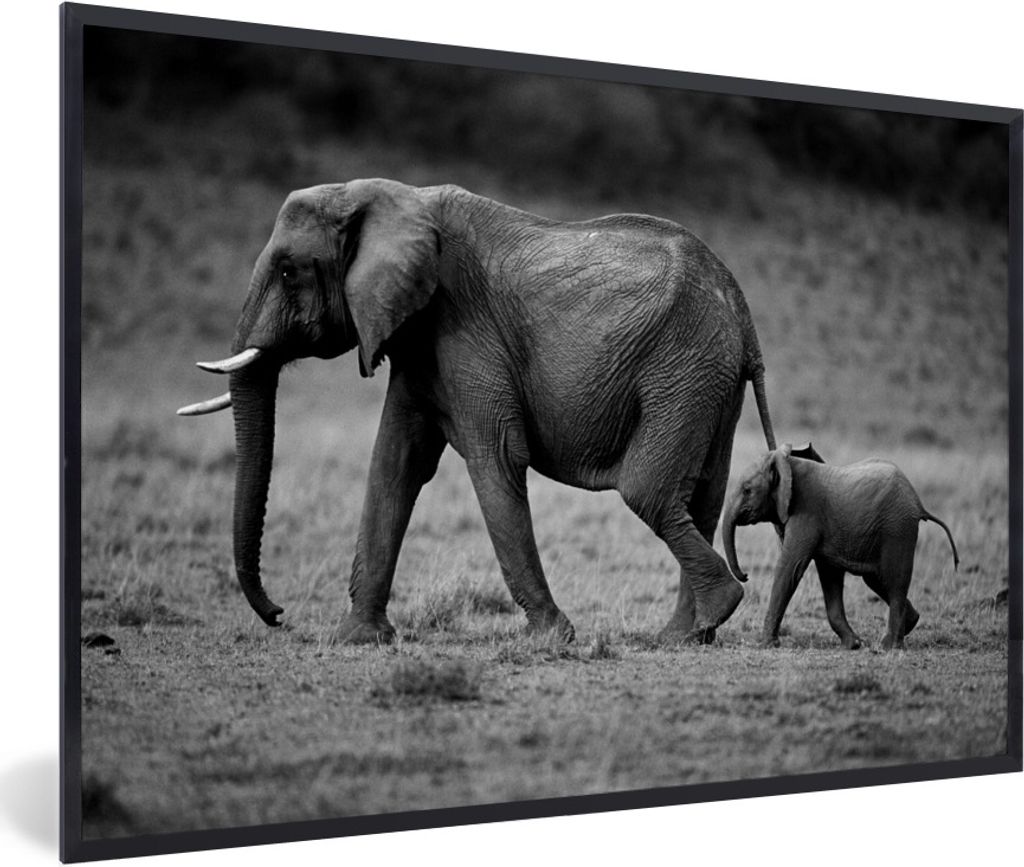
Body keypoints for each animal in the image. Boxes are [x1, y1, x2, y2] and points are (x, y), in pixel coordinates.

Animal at [178, 178, 777, 645]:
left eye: (288, 272)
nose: (278, 614)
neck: (385, 197)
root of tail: (743, 313)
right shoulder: (418, 338)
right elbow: (395, 464)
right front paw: (359, 638)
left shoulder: (464, 326)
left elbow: (497, 458)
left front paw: (551, 638)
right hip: (708, 380)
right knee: (700, 496)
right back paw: (685, 634)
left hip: (683, 366)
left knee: (648, 490)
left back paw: (714, 609)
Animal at [722, 443, 960, 650]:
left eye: (747, 490)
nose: (746, 575)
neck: (786, 464)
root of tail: (919, 503)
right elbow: (829, 576)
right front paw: (853, 645)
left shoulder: (806, 514)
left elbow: (790, 569)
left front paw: (765, 644)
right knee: (878, 579)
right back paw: (910, 624)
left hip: (898, 528)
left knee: (895, 580)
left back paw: (888, 646)